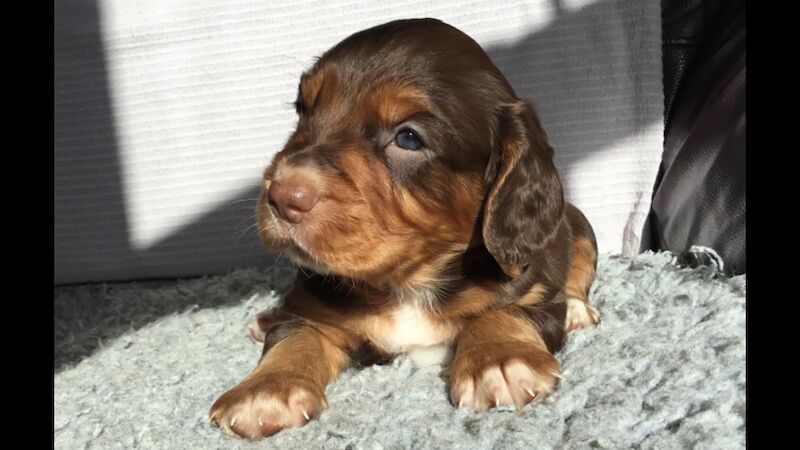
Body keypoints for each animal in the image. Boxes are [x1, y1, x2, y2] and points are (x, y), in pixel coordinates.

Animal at [209, 18, 596, 440]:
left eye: (408, 138)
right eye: (303, 110)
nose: (282, 196)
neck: (407, 281)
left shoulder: (534, 289)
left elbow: (505, 312)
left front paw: (501, 360)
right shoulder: (312, 304)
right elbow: (295, 335)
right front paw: (265, 390)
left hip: (580, 228)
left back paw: (577, 309)